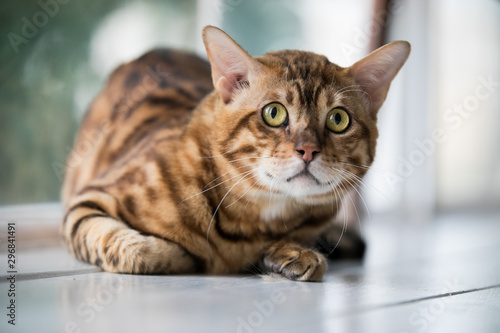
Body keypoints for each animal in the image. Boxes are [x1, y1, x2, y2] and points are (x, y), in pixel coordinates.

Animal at [61, 26, 410, 280]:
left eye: (338, 119)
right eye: (274, 113)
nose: (308, 149)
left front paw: (292, 253)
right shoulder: (87, 201)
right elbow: (132, 250)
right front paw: (178, 255)